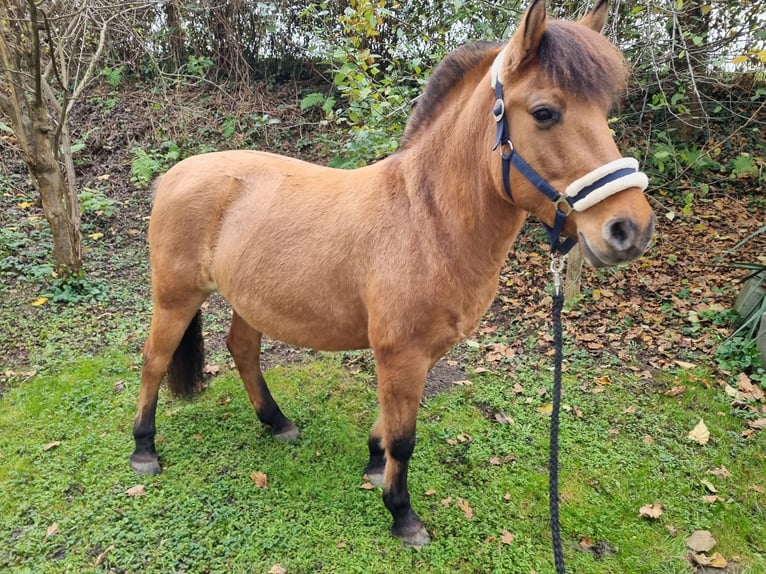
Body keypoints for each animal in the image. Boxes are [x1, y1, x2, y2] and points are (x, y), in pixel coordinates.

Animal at [130, 0, 656, 548]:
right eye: (545, 112)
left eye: (603, 114)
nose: (630, 229)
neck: (425, 221)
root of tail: (174, 174)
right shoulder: (402, 355)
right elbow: (405, 439)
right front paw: (402, 513)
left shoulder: (414, 355)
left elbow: (386, 425)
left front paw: (372, 463)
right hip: (175, 297)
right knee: (154, 360)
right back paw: (144, 449)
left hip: (249, 299)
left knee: (243, 351)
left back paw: (276, 423)